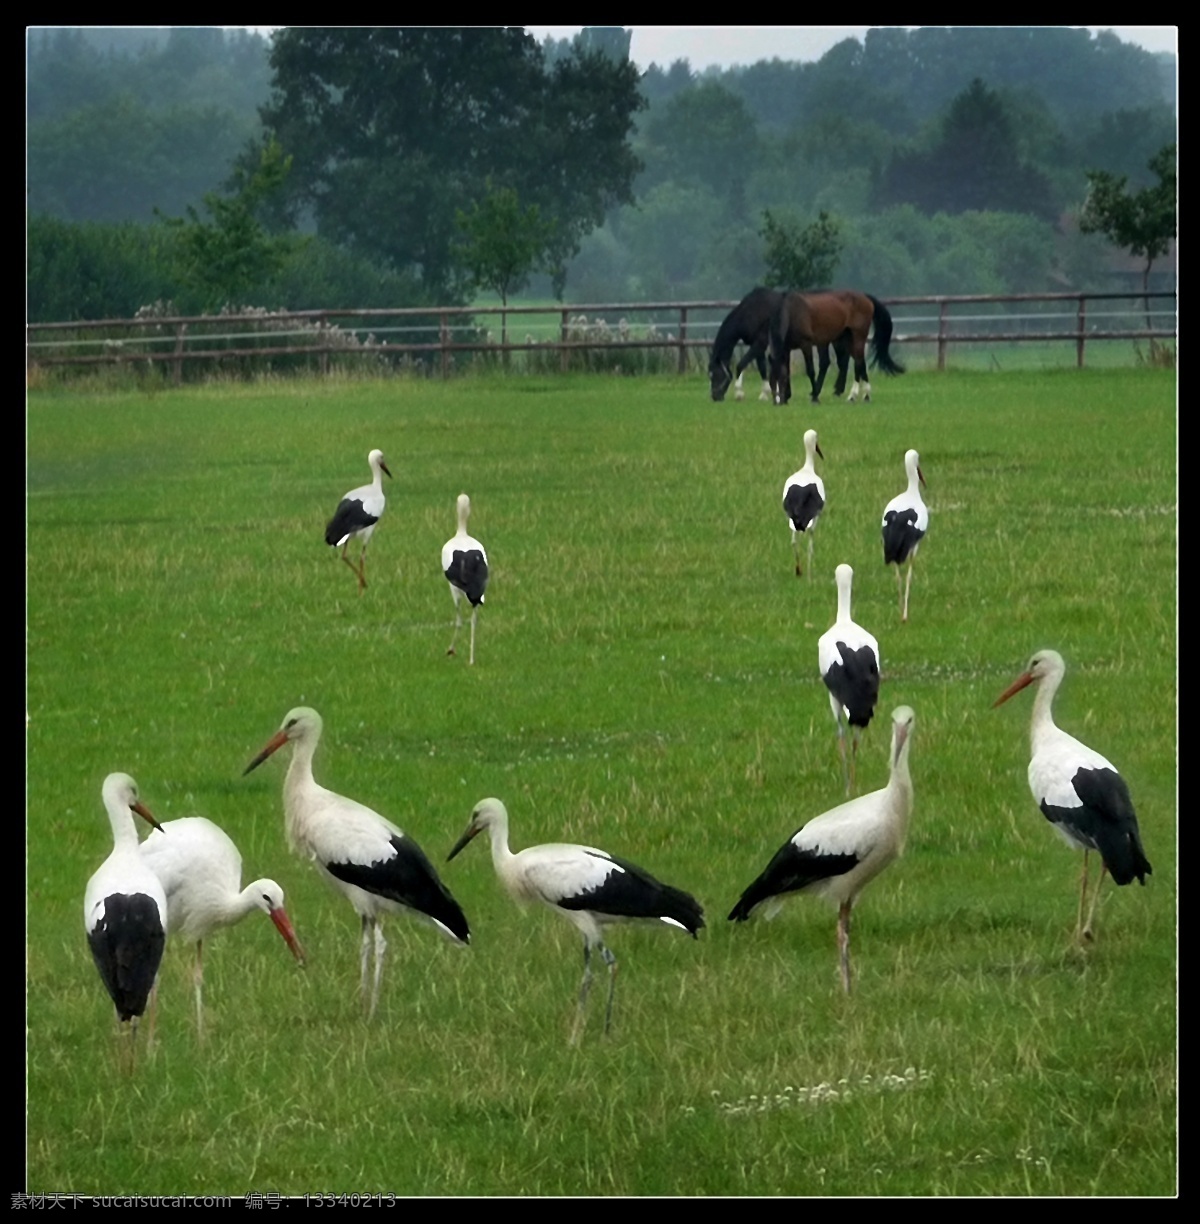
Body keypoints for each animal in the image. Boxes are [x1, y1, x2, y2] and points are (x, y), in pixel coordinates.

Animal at [709, 287, 847, 403]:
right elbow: (762, 367)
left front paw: (740, 394)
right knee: (837, 362)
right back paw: (835, 390)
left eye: (714, 375)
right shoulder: (759, 345)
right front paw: (767, 393)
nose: (715, 396)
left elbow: (741, 364)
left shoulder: (760, 342)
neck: (750, 311)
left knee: (829, 363)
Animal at [768, 290, 905, 405]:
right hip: (846, 341)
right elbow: (787, 370)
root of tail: (865, 297)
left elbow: (810, 370)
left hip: (858, 337)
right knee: (860, 363)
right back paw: (865, 395)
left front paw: (815, 397)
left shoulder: (806, 345)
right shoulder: (786, 349)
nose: (777, 402)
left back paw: (853, 396)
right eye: (770, 380)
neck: (792, 312)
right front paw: (787, 397)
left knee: (858, 364)